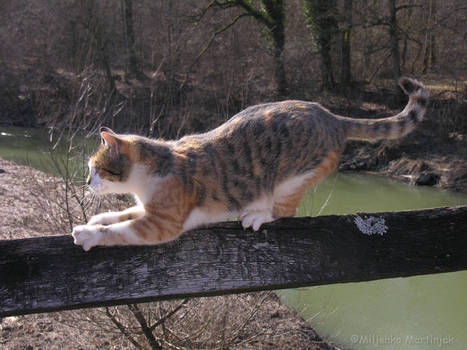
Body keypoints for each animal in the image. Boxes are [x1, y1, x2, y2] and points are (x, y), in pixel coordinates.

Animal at [72, 77, 428, 250]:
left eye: (95, 169)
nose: (87, 183)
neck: (158, 165)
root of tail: (331, 116)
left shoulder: (161, 223)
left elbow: (122, 230)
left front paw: (90, 234)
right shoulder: (149, 208)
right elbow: (123, 213)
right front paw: (100, 217)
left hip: (290, 179)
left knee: (284, 211)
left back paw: (257, 214)